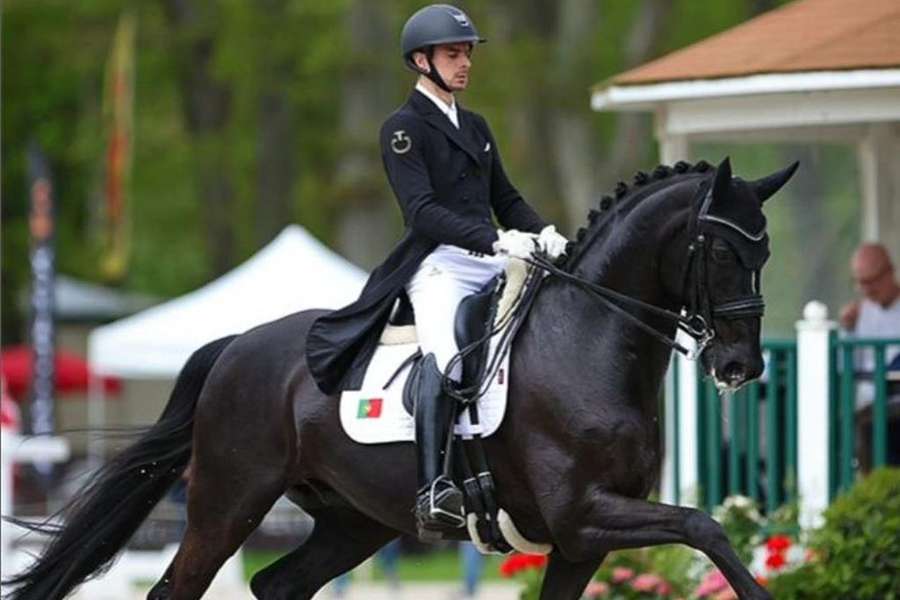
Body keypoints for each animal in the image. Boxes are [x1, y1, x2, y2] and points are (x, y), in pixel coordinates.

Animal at [7, 157, 796, 596]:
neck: (588, 346)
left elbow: (698, 528)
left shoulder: (578, 544)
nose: (740, 366)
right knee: (178, 588)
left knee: (278, 584)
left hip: (353, 518)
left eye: (765, 254)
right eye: (719, 252)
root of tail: (236, 347)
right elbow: (705, 526)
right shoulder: (584, 514)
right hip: (228, 501)